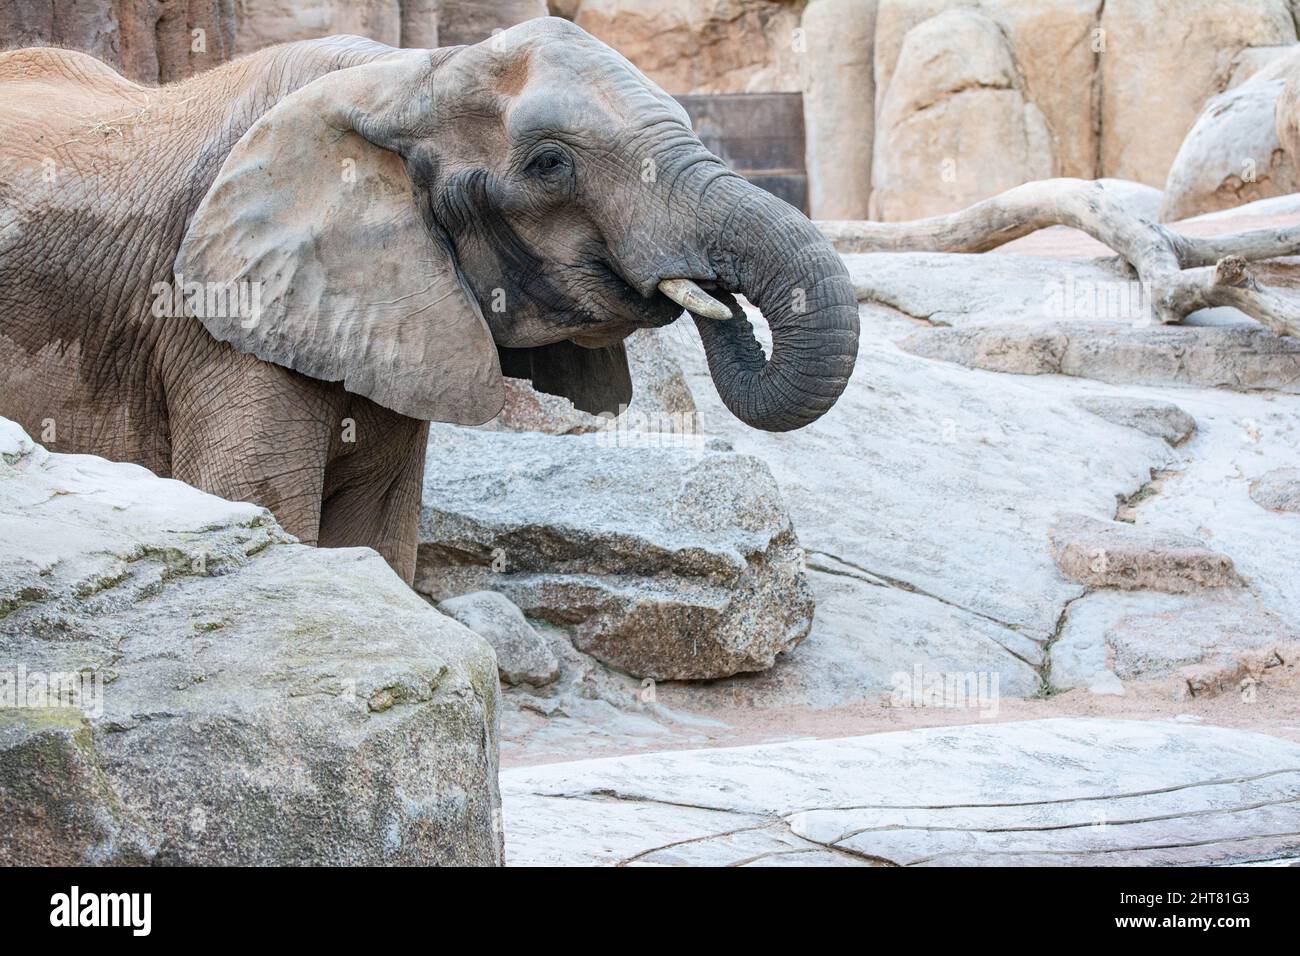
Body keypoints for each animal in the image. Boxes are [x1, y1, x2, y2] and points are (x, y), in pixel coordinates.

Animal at [2, 14, 863, 582]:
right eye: (551, 165)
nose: (715, 292)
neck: (408, 73)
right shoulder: (211, 320)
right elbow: (259, 509)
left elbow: (379, 538)